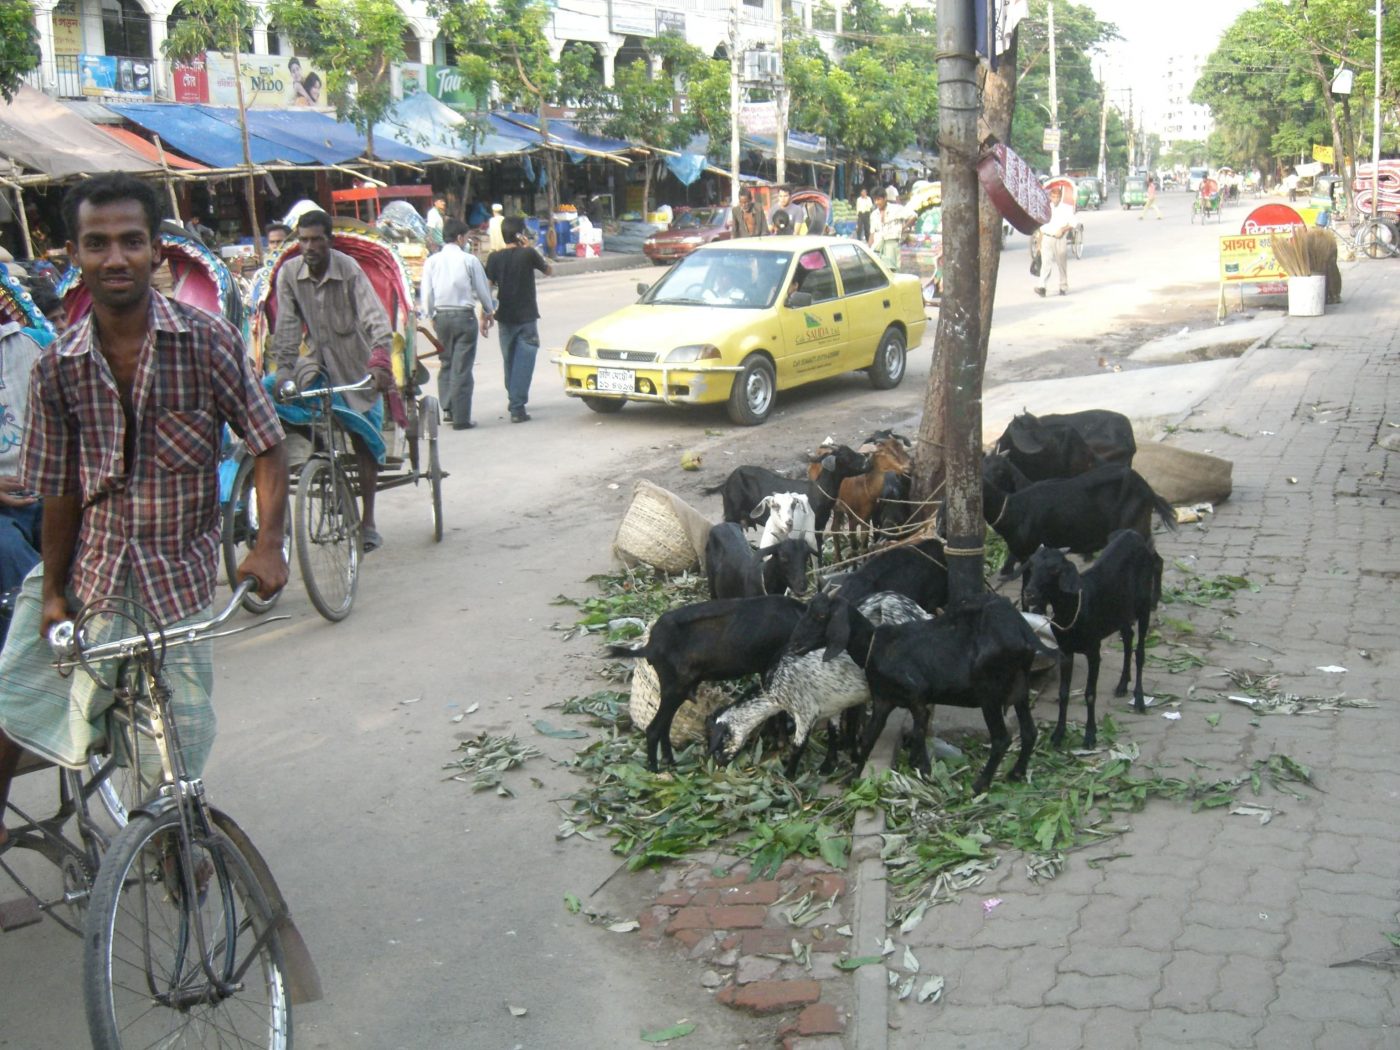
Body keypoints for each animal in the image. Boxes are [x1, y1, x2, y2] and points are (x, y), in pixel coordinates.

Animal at [607, 599, 806, 772]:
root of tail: (650, 646)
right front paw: (780, 741)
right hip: (675, 690)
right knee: (654, 729)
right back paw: (655, 771)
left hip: (675, 690)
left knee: (664, 727)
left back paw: (670, 761)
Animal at [789, 596, 1041, 795]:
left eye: (821, 615)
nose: (795, 644)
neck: (874, 645)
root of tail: (1024, 634)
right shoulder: (884, 700)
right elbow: (870, 737)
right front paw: (854, 777)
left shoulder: (916, 697)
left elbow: (919, 734)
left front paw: (926, 772)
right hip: (1020, 688)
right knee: (1029, 731)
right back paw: (1017, 773)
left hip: (990, 694)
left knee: (1001, 739)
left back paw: (979, 785)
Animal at [985, 459, 1181, 576]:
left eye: (1000, 471)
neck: (1014, 507)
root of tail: (1147, 488)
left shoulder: (1028, 552)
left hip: (1135, 525)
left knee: (1155, 561)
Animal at [1024, 534, 1164, 750]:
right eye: (1031, 564)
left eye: (1054, 569)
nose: (1029, 593)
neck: (1073, 610)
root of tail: (1133, 536)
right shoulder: (1065, 651)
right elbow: (1063, 693)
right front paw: (1058, 734)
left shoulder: (1093, 651)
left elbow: (1090, 693)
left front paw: (1090, 736)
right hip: (1121, 611)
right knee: (1127, 638)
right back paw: (1122, 684)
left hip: (1143, 605)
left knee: (1140, 652)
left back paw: (1139, 700)